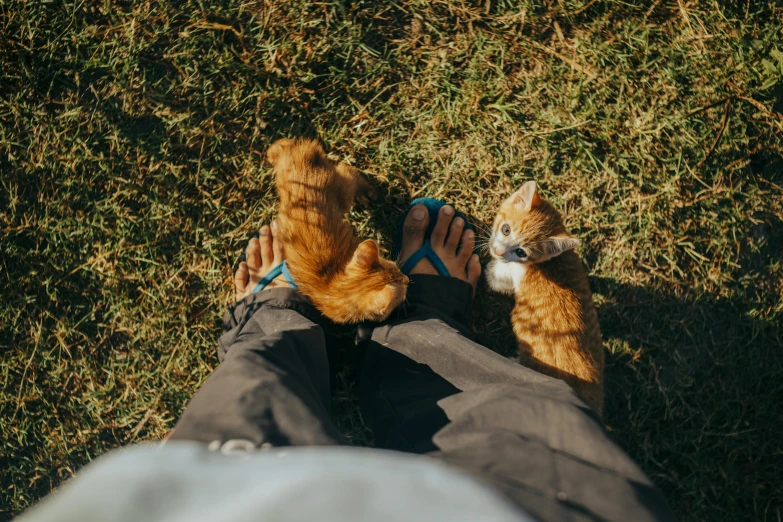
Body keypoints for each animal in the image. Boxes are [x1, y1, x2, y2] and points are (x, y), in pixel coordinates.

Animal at [268, 138, 408, 324]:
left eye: (398, 269)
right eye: (403, 288)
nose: (407, 279)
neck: (335, 287)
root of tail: (301, 160)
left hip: (342, 190)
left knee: (346, 168)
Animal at [484, 181, 608, 412]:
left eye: (521, 252)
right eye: (506, 229)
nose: (498, 252)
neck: (551, 263)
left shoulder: (510, 272)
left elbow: (496, 278)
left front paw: (486, 267)